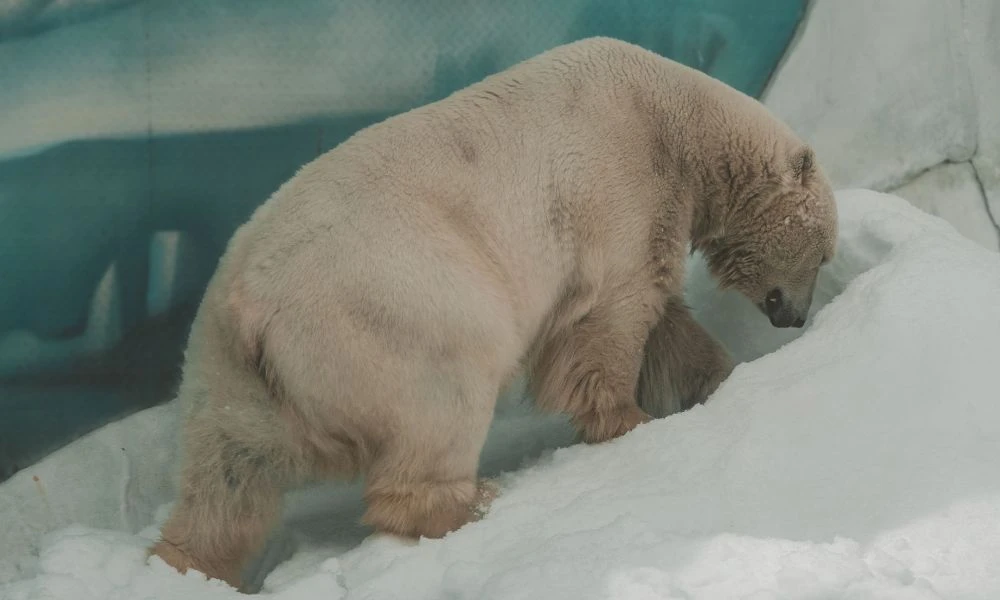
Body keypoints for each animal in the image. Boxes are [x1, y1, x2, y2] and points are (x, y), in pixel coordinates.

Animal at [149, 36, 837, 590]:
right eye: (826, 253)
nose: (796, 319)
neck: (675, 118)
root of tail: (250, 311)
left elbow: (667, 323)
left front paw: (718, 379)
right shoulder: (621, 189)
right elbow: (612, 319)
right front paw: (629, 422)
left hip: (226, 379)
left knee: (227, 487)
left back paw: (188, 562)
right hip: (390, 314)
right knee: (443, 400)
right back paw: (473, 501)